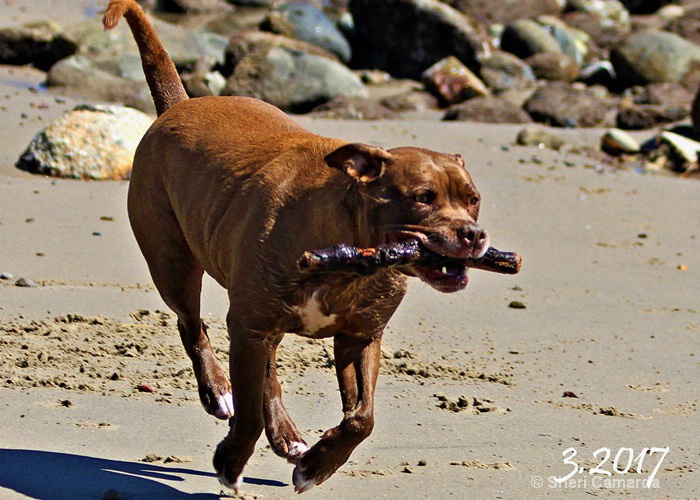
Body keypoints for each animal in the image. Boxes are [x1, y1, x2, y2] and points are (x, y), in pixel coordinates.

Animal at [104, 0, 490, 492]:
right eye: (424, 197)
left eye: (472, 199)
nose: (474, 234)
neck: (351, 258)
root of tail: (179, 105)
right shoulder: (250, 324)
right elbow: (250, 409)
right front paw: (231, 461)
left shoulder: (360, 337)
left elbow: (362, 418)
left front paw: (317, 466)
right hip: (175, 265)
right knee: (193, 327)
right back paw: (220, 392)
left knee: (265, 373)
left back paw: (285, 435)